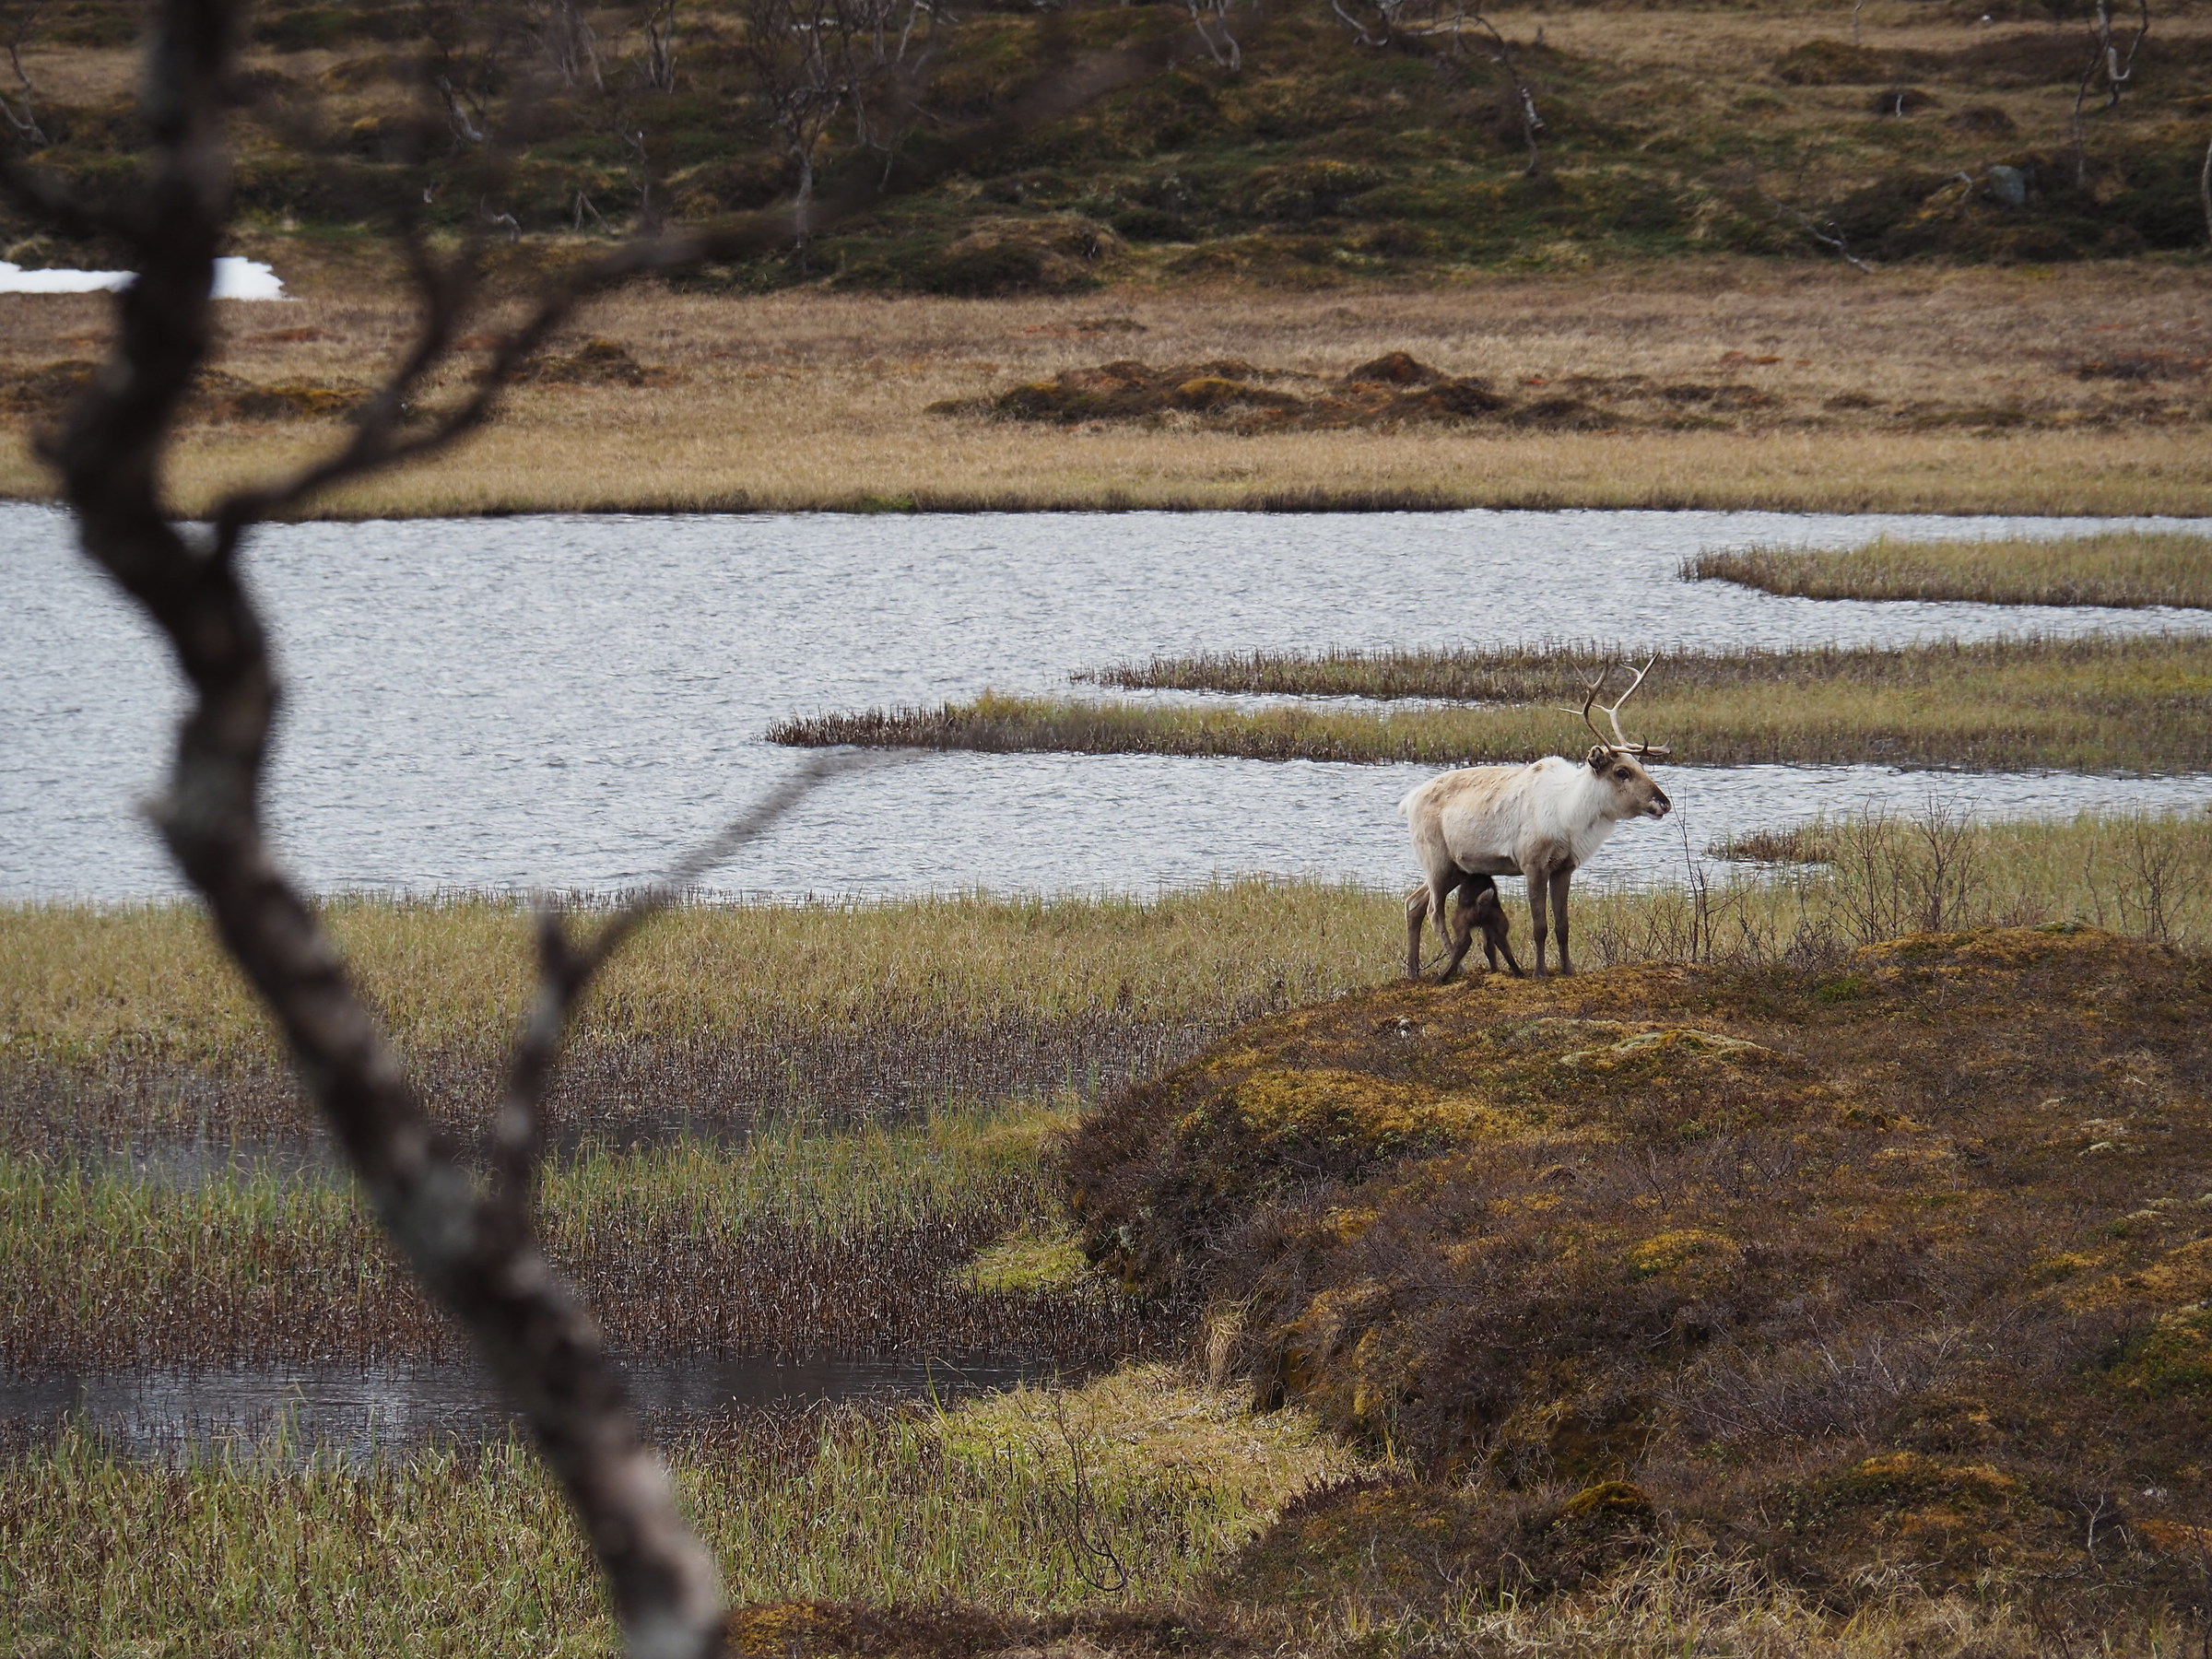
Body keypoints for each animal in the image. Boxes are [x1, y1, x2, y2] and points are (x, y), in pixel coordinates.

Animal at [1401, 660, 1673, 981]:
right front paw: (1539, 972)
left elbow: (1563, 926)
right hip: (1437, 861)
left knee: (1413, 903)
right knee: (1433, 911)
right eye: (1621, 772)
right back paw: (1457, 969)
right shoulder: (1532, 863)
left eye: (1641, 766)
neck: (1569, 816)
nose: (1663, 802)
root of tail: (1408, 801)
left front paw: (1567, 970)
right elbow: (1539, 926)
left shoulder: (1565, 868)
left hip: (1457, 868)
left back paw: (1414, 971)